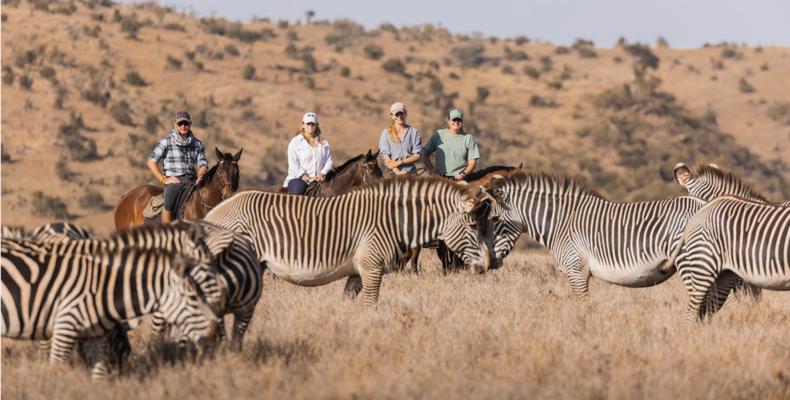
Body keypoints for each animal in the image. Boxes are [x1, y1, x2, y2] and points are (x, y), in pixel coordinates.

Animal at [206, 177, 496, 304]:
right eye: (473, 226)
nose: (487, 266)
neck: (393, 221)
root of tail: (214, 211)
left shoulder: (357, 272)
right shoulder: (371, 268)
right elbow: (371, 305)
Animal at [486, 169, 708, 296]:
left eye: (494, 219)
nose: (490, 264)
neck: (560, 222)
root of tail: (704, 203)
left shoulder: (576, 269)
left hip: (690, 260)